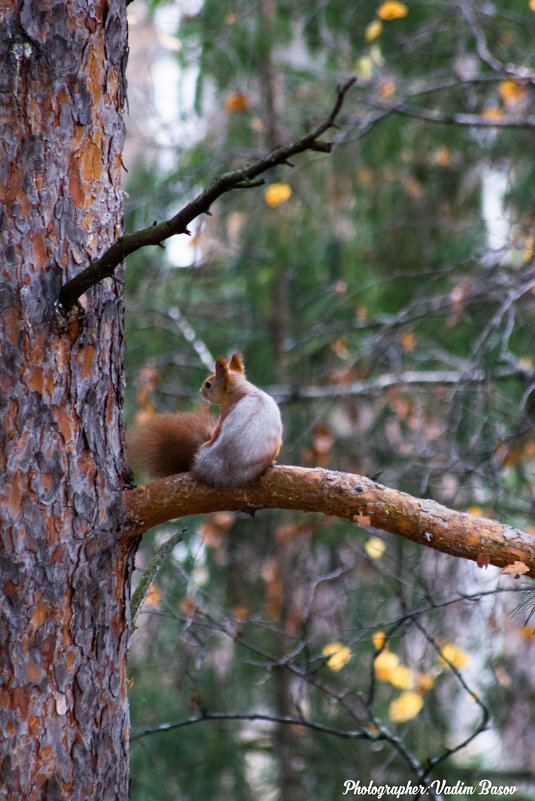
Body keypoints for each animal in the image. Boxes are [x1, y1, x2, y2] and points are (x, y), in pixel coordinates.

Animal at [127, 354, 282, 488]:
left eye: (208, 384)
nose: (200, 391)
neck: (243, 389)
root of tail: (220, 465)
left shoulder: (226, 410)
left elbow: (217, 431)